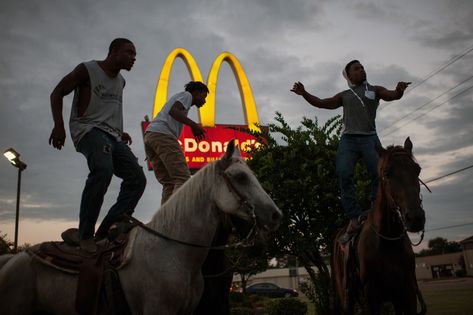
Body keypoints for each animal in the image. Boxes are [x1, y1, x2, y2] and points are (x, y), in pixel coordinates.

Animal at [332, 138, 428, 315]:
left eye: (417, 170)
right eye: (387, 173)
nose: (415, 218)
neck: (389, 243)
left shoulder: (407, 295)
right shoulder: (371, 297)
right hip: (345, 299)